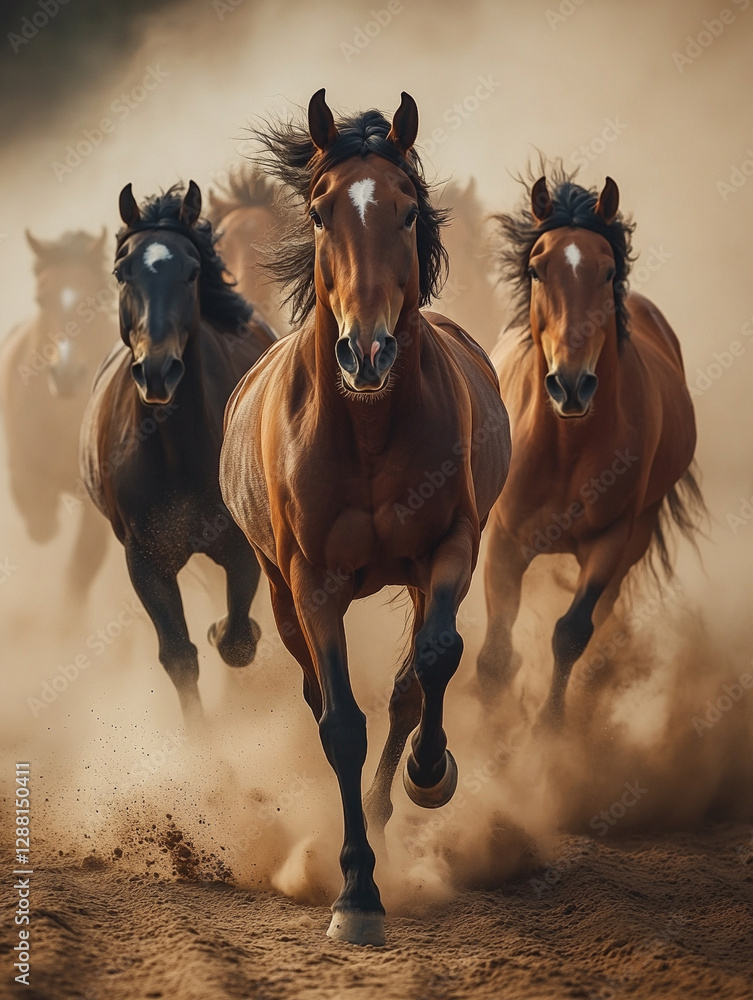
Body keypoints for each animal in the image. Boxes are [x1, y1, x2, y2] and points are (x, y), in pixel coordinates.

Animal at [0, 228, 115, 602]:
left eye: (94, 300)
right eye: (41, 300)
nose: (66, 374)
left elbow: (82, 566)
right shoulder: (23, 474)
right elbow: (40, 524)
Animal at [79, 181, 276, 720]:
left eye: (190, 272)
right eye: (122, 271)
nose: (157, 371)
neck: (175, 452)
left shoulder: (239, 543)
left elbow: (236, 640)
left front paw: (228, 632)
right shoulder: (146, 559)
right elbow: (178, 655)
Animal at [220, 90, 510, 946]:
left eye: (407, 209)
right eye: (319, 212)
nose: (367, 352)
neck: (368, 425)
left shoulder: (449, 546)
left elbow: (434, 661)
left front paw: (429, 773)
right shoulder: (311, 582)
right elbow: (339, 724)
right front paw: (355, 894)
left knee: (412, 681)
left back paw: (398, 796)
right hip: (280, 593)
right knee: (318, 694)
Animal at [477, 167, 704, 728]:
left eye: (606, 272)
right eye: (537, 269)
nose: (571, 385)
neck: (566, 447)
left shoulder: (611, 540)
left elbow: (572, 632)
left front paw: (550, 729)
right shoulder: (506, 540)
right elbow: (495, 652)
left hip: (637, 536)